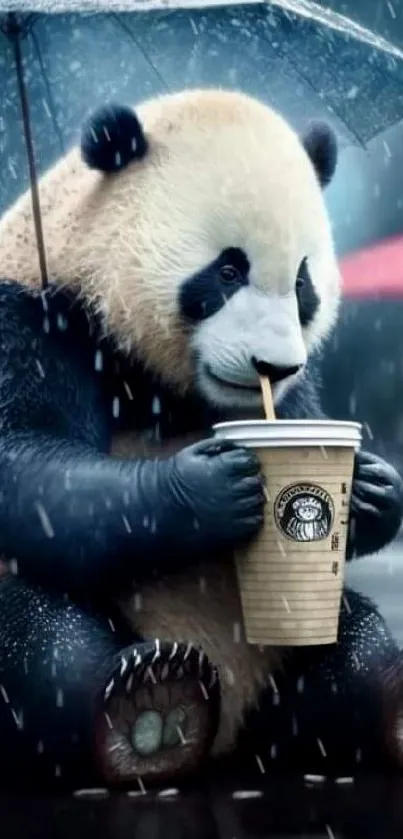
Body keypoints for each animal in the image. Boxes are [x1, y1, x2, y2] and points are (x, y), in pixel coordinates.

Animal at [0, 87, 403, 788]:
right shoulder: (31, 315)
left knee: (352, 648)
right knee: (42, 640)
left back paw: (383, 704)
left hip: (283, 655)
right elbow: (29, 467)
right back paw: (145, 700)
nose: (274, 366)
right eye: (227, 271)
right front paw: (208, 486)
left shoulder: (295, 392)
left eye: (302, 282)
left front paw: (374, 490)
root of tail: (226, 743)